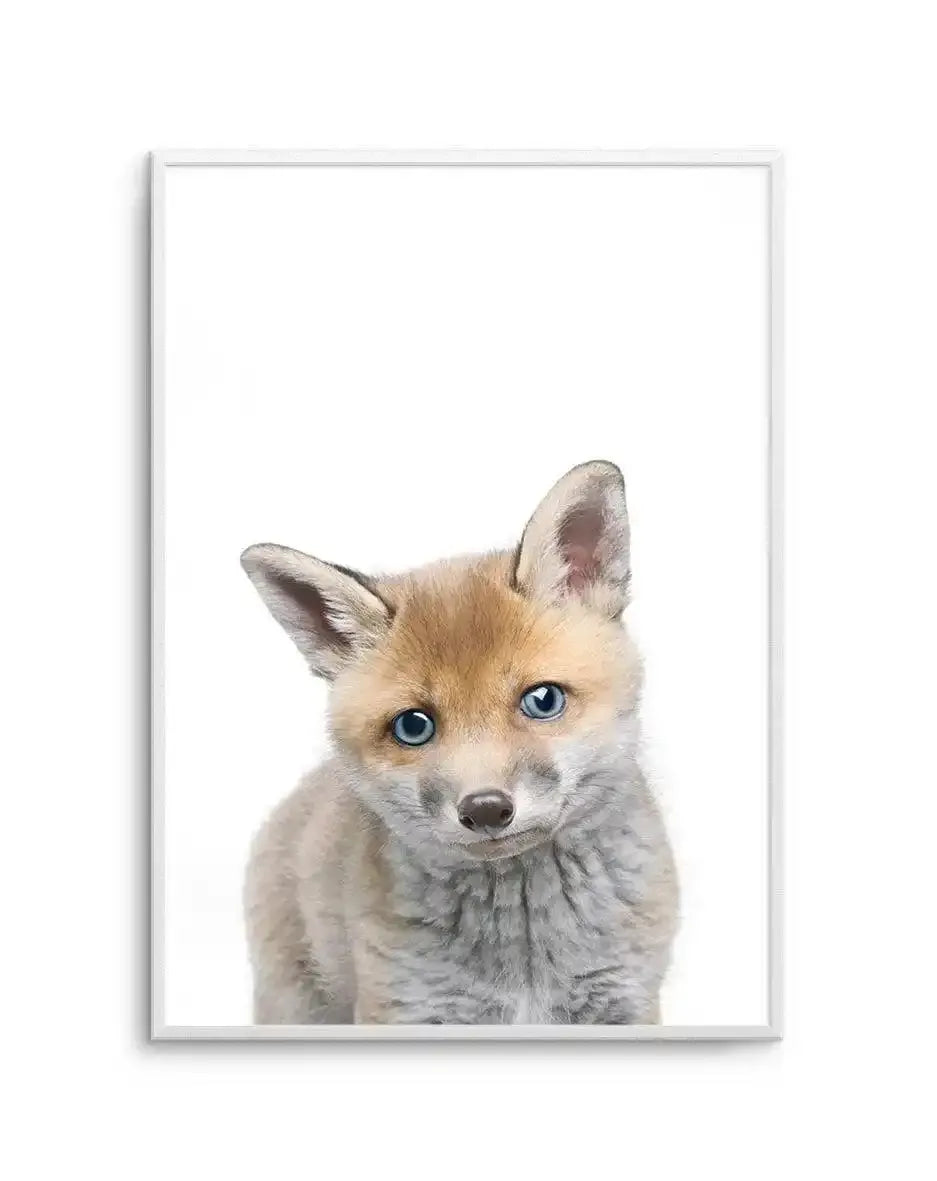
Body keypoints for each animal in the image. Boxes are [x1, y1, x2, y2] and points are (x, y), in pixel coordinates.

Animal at [240, 460, 678, 1025]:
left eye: (543, 700)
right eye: (414, 726)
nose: (486, 808)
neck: (526, 955)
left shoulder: (624, 1000)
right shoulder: (407, 1006)